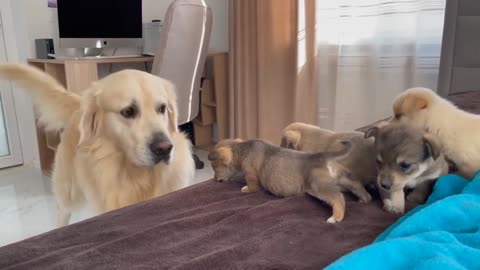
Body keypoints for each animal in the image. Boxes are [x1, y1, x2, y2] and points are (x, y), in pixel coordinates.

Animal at [0, 64, 195, 227]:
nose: (164, 148)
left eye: (162, 108)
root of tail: (79, 106)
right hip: (69, 192)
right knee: (62, 212)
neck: (137, 176)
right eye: (128, 111)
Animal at [208, 138, 374, 223]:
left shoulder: (250, 173)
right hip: (346, 178)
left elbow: (251, 185)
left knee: (339, 198)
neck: (242, 149)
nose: (215, 180)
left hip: (318, 186)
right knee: (358, 186)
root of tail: (324, 156)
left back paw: (336, 217)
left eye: (214, 167)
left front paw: (245, 189)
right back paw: (365, 199)